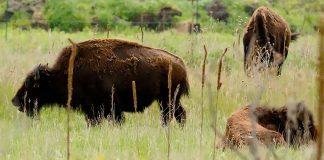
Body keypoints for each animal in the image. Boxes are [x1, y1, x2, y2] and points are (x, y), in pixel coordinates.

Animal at [11, 38, 190, 126]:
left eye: (33, 85)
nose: (15, 100)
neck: (65, 74)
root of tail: (180, 62)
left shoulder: (107, 108)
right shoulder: (94, 110)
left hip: (167, 100)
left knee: (170, 116)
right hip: (168, 100)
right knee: (178, 115)